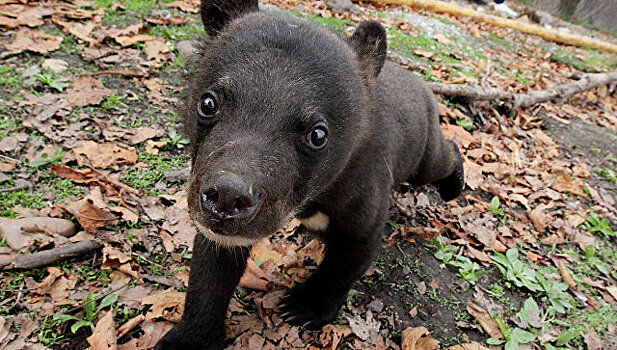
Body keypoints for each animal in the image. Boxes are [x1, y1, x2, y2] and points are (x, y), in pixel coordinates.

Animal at [156, 1, 464, 348]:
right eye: (208, 103)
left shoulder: (364, 195)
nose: (227, 197)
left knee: (441, 157)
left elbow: (347, 259)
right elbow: (211, 271)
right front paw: (190, 337)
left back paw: (454, 185)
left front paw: (305, 305)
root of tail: (420, 82)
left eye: (318, 134)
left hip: (421, 152)